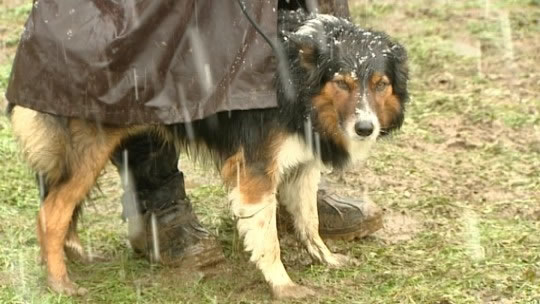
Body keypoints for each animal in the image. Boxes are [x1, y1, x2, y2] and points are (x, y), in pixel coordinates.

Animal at [8, 10, 408, 300]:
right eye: (342, 82)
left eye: (380, 85)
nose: (365, 128)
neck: (297, 76)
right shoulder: (255, 171)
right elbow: (268, 240)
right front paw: (283, 285)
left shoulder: (303, 161)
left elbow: (309, 219)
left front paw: (325, 257)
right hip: (87, 150)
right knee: (51, 213)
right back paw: (60, 282)